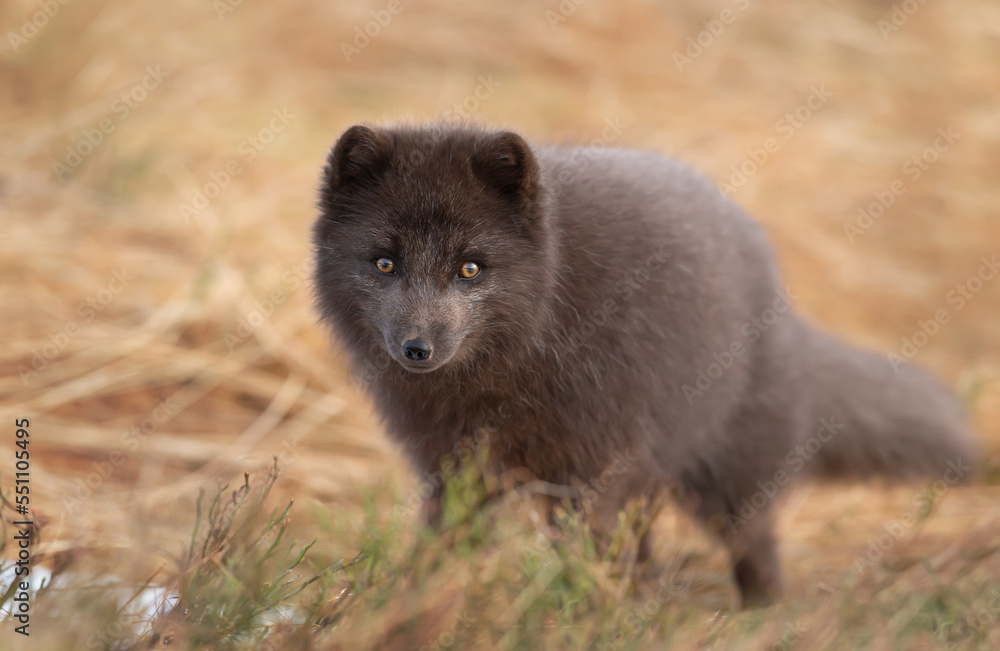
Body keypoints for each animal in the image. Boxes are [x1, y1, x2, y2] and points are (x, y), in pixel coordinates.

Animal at [311, 123, 979, 607]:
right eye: (384, 263)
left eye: (470, 268)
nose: (416, 349)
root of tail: (780, 296)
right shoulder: (451, 468)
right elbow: (441, 545)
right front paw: (406, 604)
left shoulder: (593, 465)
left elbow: (587, 551)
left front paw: (584, 614)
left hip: (727, 472)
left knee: (755, 542)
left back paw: (758, 613)